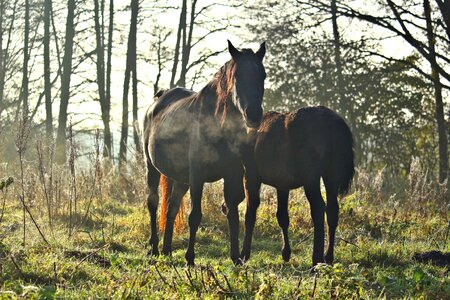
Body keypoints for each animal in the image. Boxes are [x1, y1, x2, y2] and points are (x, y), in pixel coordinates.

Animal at [142, 40, 266, 264]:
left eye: (263, 75)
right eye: (237, 76)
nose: (253, 114)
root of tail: (158, 100)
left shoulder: (232, 173)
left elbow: (232, 211)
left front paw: (235, 256)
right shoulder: (197, 176)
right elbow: (195, 216)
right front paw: (190, 258)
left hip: (180, 178)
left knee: (171, 208)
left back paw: (167, 250)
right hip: (152, 168)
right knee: (153, 203)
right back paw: (155, 248)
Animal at [241, 106, 354, 266]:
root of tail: (335, 124)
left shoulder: (250, 174)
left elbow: (250, 213)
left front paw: (243, 254)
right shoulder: (282, 183)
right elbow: (282, 216)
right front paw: (286, 252)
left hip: (311, 177)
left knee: (318, 207)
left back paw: (316, 259)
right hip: (331, 175)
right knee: (332, 210)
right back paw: (328, 257)